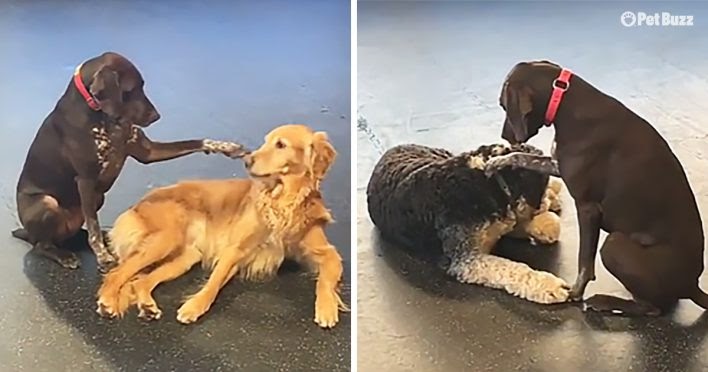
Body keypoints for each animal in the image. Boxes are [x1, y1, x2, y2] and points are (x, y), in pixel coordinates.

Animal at [368, 142, 568, 302]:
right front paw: (549, 285)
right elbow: (511, 268)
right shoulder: (467, 259)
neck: (490, 183)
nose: (544, 201)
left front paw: (546, 223)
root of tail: (393, 148)